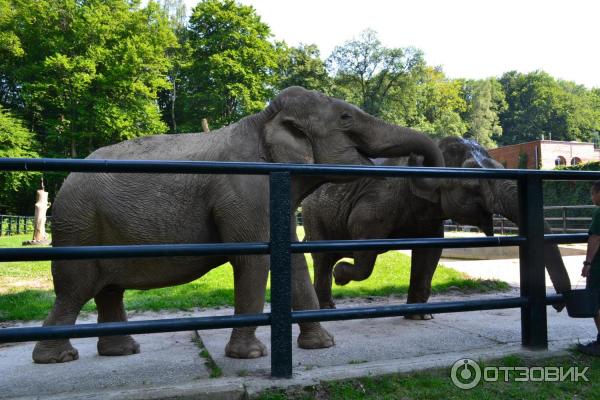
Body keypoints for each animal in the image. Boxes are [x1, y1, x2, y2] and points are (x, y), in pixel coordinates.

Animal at [32, 86, 446, 364]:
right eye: (345, 118)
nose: (343, 274)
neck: (263, 121)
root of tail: (66, 181)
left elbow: (292, 260)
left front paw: (323, 345)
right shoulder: (246, 190)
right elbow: (253, 260)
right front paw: (250, 356)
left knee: (109, 289)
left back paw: (122, 351)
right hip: (78, 226)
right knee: (76, 288)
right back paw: (58, 358)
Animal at [304, 136, 572, 314]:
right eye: (472, 182)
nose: (559, 306)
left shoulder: (429, 218)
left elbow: (430, 252)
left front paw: (420, 316)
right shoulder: (376, 202)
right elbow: (365, 244)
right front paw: (341, 275)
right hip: (313, 215)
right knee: (323, 258)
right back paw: (326, 306)